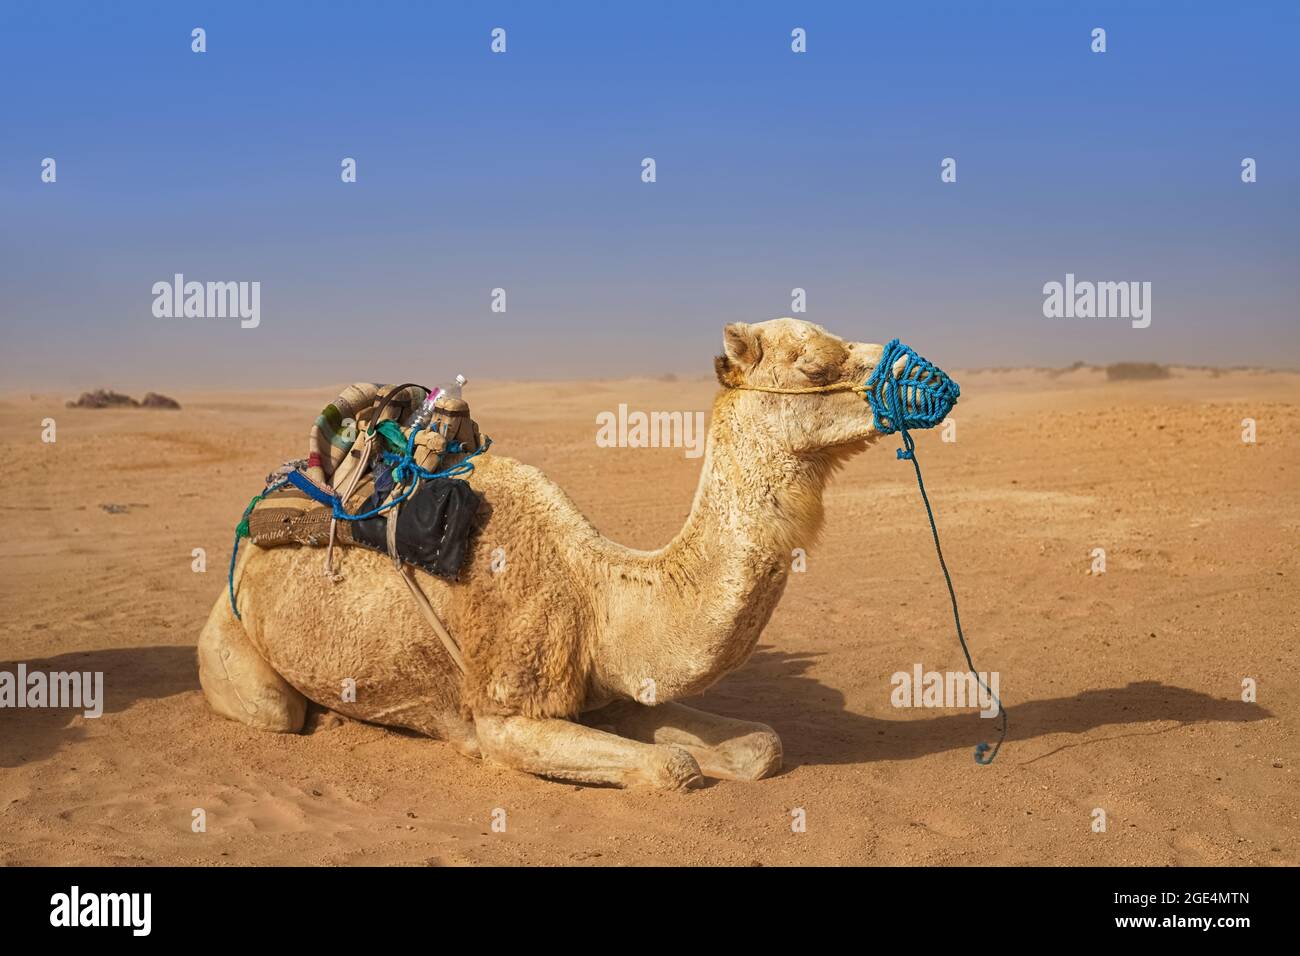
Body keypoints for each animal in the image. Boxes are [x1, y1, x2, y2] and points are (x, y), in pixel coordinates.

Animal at [199, 318, 916, 790]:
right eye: (814, 366)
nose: (916, 373)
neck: (596, 592)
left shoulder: (615, 691)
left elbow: (760, 747)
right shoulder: (504, 717)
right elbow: (673, 767)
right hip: (235, 648)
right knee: (277, 710)